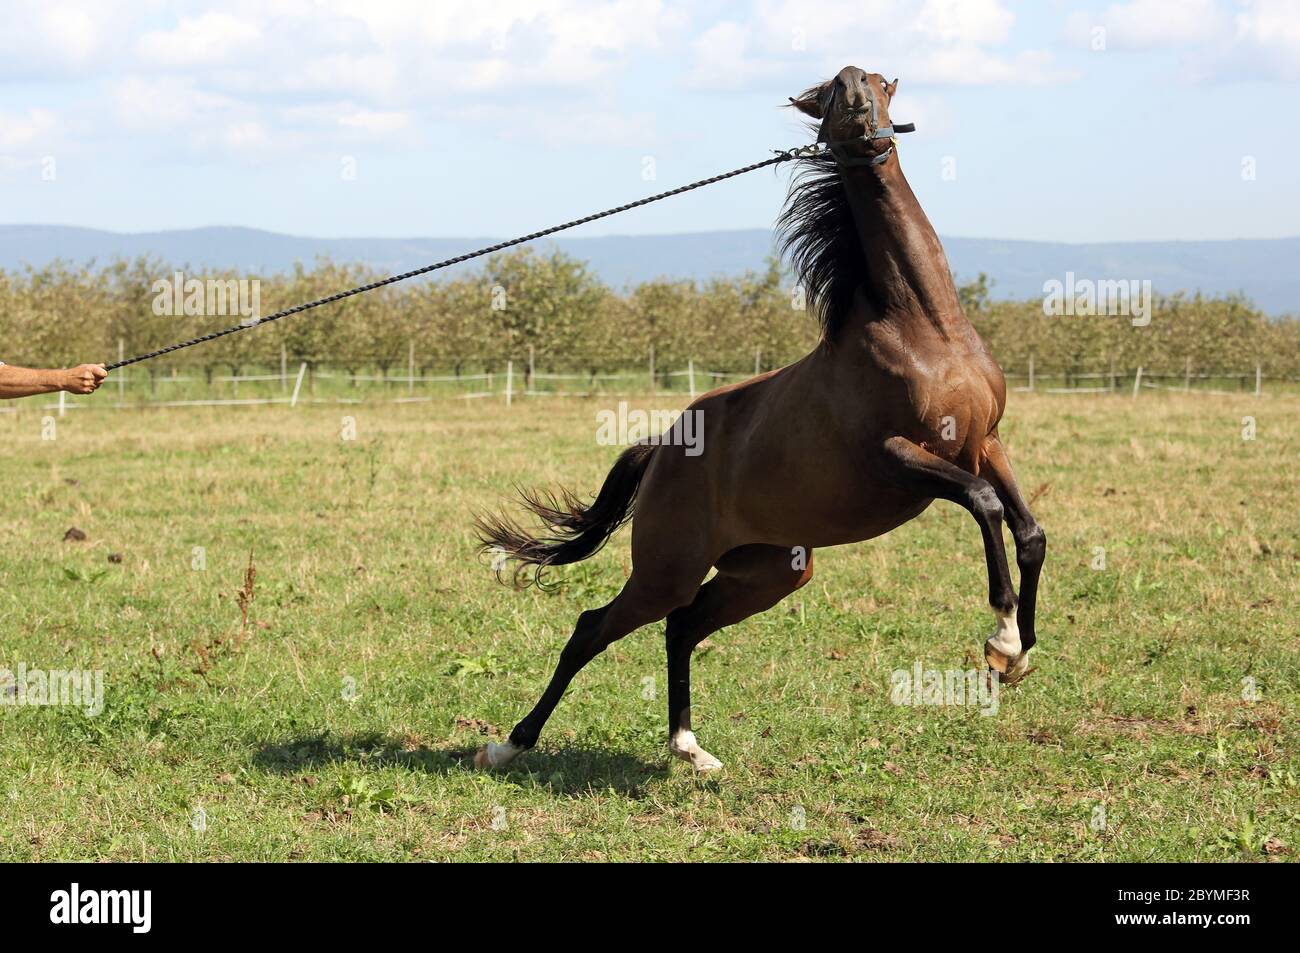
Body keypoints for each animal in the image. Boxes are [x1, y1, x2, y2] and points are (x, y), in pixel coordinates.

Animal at [475, 65, 1045, 774]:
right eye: (835, 92)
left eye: (878, 84)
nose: (861, 101)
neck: (922, 330)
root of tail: (660, 450)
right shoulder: (897, 457)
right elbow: (985, 504)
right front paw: (1001, 641)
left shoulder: (985, 441)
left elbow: (1028, 530)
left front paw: (1021, 651)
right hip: (666, 569)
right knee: (593, 629)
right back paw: (509, 744)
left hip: (769, 571)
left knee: (683, 627)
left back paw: (689, 750)